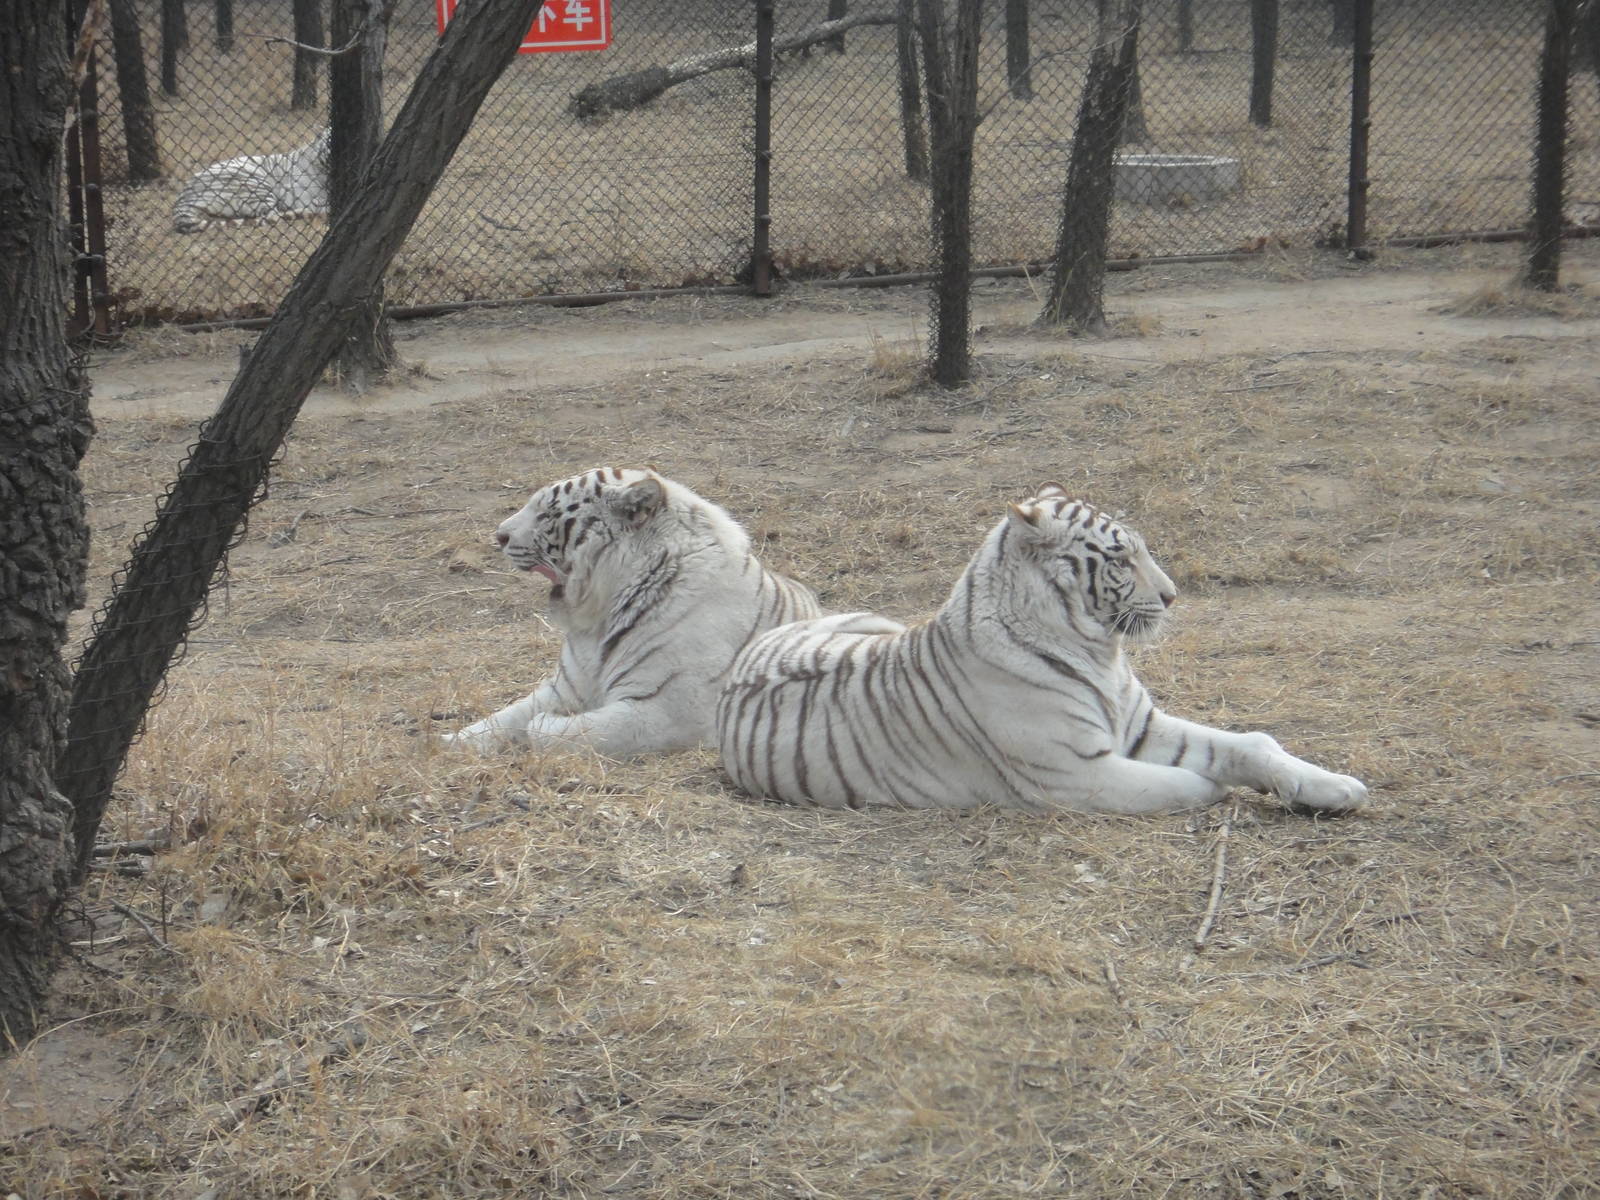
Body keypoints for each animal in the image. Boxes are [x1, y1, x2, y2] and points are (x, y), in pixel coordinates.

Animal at [445, 467, 823, 758]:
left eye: (547, 513)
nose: (499, 536)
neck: (600, 619)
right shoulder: (565, 688)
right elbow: (504, 716)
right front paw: (448, 743)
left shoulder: (665, 712)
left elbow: (577, 731)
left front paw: (543, 725)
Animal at [717, 485, 1368, 816]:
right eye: (1120, 557)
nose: (1173, 595)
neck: (1101, 655)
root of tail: (748, 652)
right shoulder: (1076, 774)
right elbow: (1184, 783)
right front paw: (1218, 790)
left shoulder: (1141, 726)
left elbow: (1249, 744)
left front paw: (1336, 789)